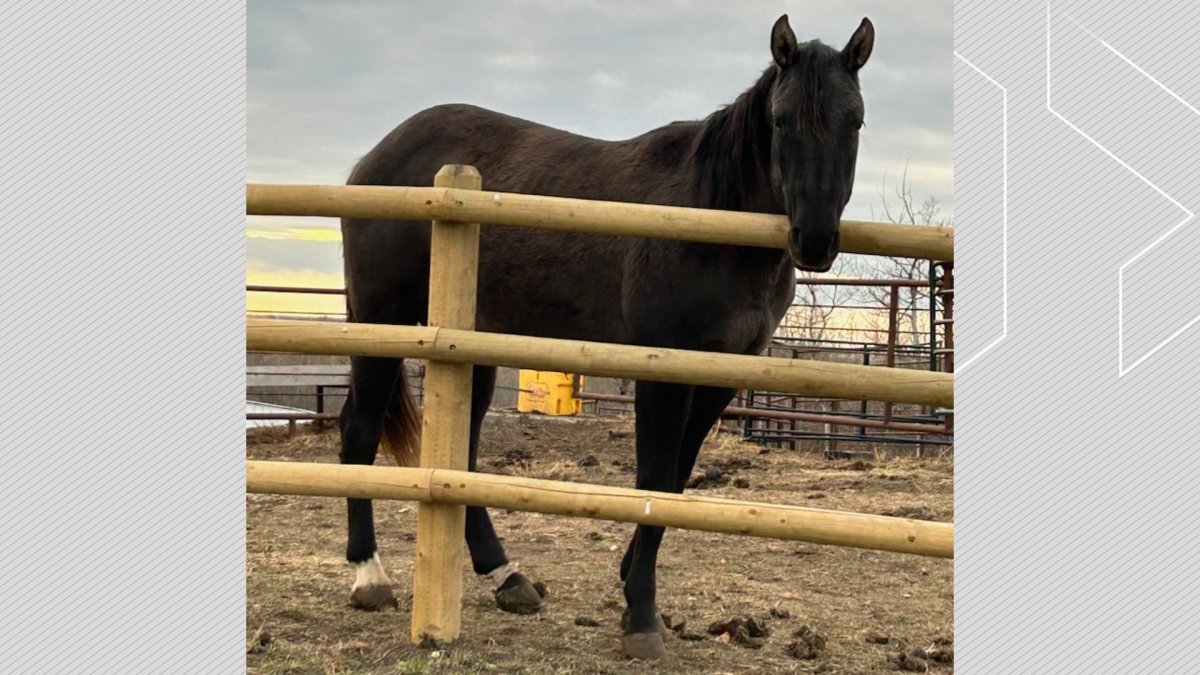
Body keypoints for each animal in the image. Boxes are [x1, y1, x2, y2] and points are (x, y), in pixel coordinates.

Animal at [338, 14, 873, 658]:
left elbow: (675, 483)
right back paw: (370, 577)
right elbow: (655, 478)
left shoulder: (722, 376)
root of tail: (375, 159)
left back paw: (507, 577)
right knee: (359, 430)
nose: (814, 240)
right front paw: (640, 614)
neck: (711, 219)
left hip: (472, 345)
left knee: (460, 452)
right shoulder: (663, 371)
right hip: (382, 321)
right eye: (781, 120)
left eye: (855, 120)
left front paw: (629, 582)